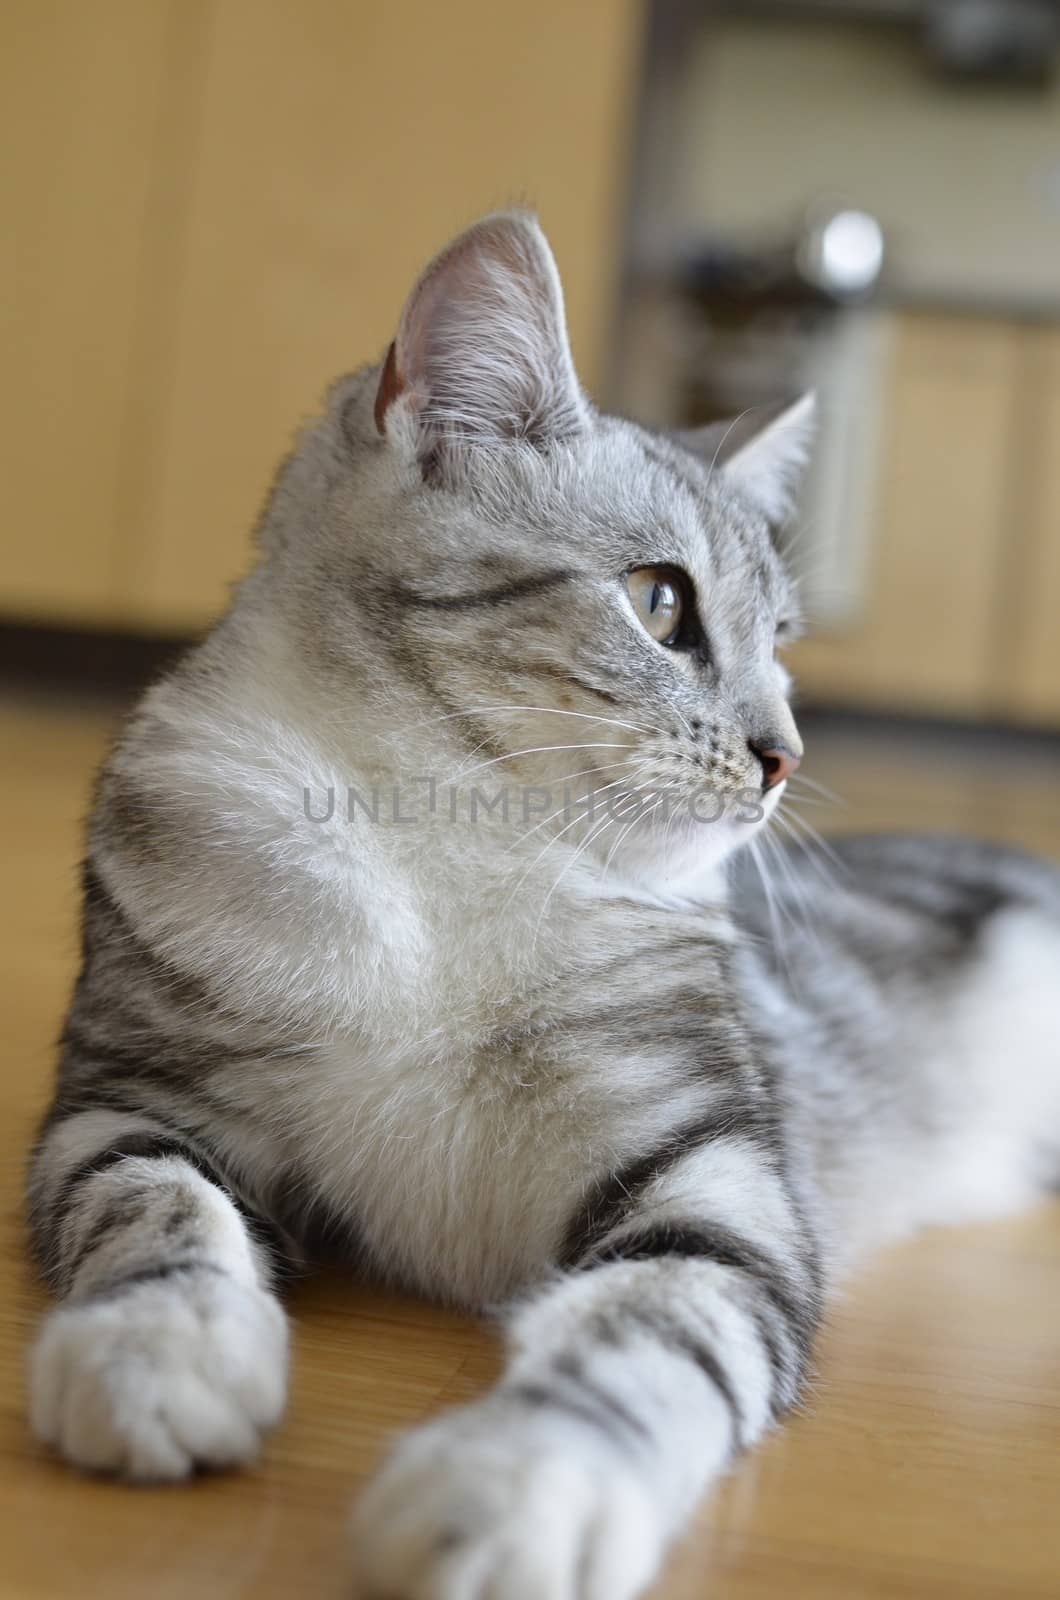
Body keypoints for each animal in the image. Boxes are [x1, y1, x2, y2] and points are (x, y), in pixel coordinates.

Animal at [24, 212, 1060, 1600]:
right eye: (662, 601)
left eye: (784, 642)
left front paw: (517, 1480)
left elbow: (646, 1330)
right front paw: (159, 1344)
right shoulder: (120, 1103)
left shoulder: (717, 1185)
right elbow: (157, 1210)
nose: (783, 753)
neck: (454, 854)